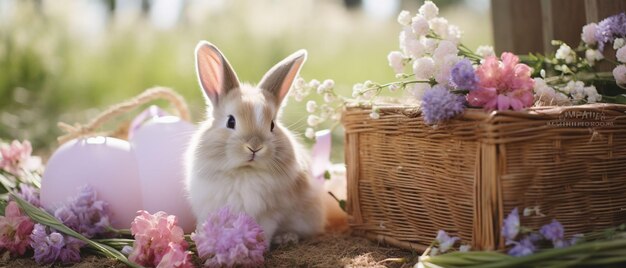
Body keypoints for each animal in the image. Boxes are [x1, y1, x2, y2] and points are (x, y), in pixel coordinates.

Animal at [183, 40, 324, 245]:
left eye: (272, 125)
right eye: (230, 121)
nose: (255, 147)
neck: (244, 171)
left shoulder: (270, 213)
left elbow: (264, 229)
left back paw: (286, 238)